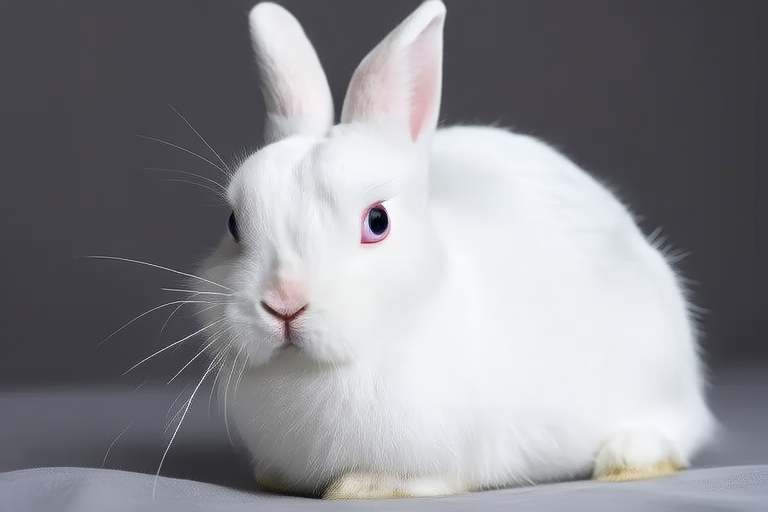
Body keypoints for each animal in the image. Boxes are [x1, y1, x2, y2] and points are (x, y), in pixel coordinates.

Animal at [191, 0, 716, 500]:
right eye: (233, 224)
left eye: (377, 222)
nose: (284, 303)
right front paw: (275, 478)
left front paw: (360, 488)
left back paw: (626, 459)